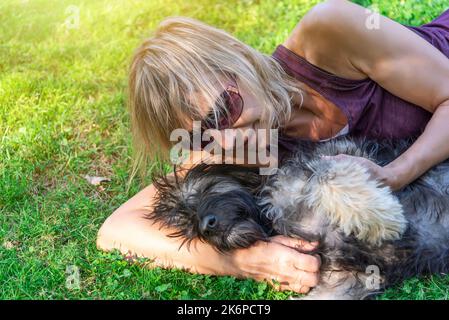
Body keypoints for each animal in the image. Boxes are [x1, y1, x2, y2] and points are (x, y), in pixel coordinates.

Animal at [150, 138, 448, 300]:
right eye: (186, 222)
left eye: (204, 190)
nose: (205, 226)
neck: (269, 217)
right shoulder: (349, 279)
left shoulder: (335, 158)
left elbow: (327, 176)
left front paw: (382, 219)